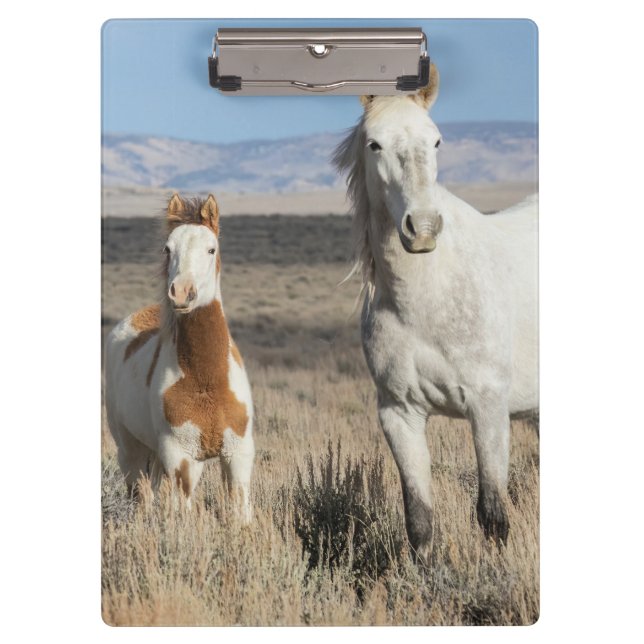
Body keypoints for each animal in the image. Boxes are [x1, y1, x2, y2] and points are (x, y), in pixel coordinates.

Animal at [104, 193, 255, 521]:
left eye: (211, 248)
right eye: (167, 248)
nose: (182, 292)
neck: (206, 380)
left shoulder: (237, 455)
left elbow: (240, 512)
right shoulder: (180, 458)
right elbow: (181, 513)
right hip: (131, 452)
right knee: (141, 497)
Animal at [333, 64, 538, 562]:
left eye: (437, 140)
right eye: (374, 143)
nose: (423, 228)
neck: (425, 297)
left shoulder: (488, 407)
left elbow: (492, 515)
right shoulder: (400, 413)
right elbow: (420, 520)